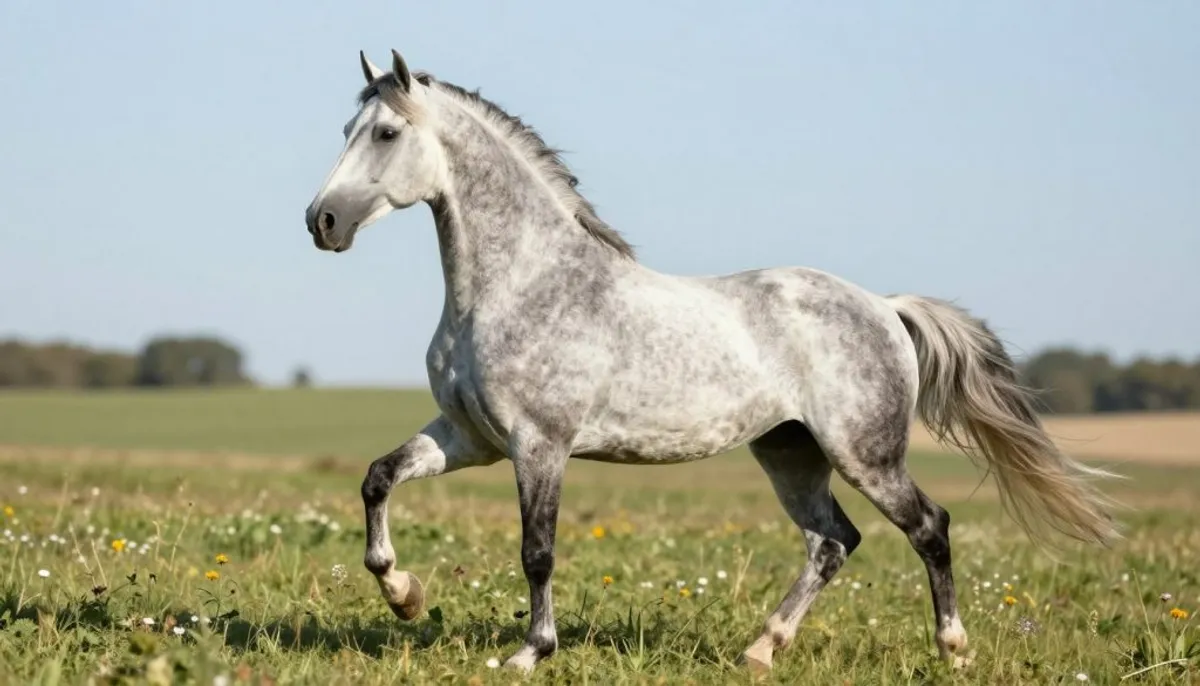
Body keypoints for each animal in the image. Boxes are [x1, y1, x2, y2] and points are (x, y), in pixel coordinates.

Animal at [303, 48, 1120, 674]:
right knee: (833, 542)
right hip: (790, 452)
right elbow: (378, 479)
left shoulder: (540, 446)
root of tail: (885, 307)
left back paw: (952, 648)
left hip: (864, 453)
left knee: (929, 527)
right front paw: (404, 594)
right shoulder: (470, 436)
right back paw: (763, 649)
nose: (322, 221)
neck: (522, 284)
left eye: (384, 133)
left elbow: (537, 550)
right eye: (346, 129)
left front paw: (529, 653)